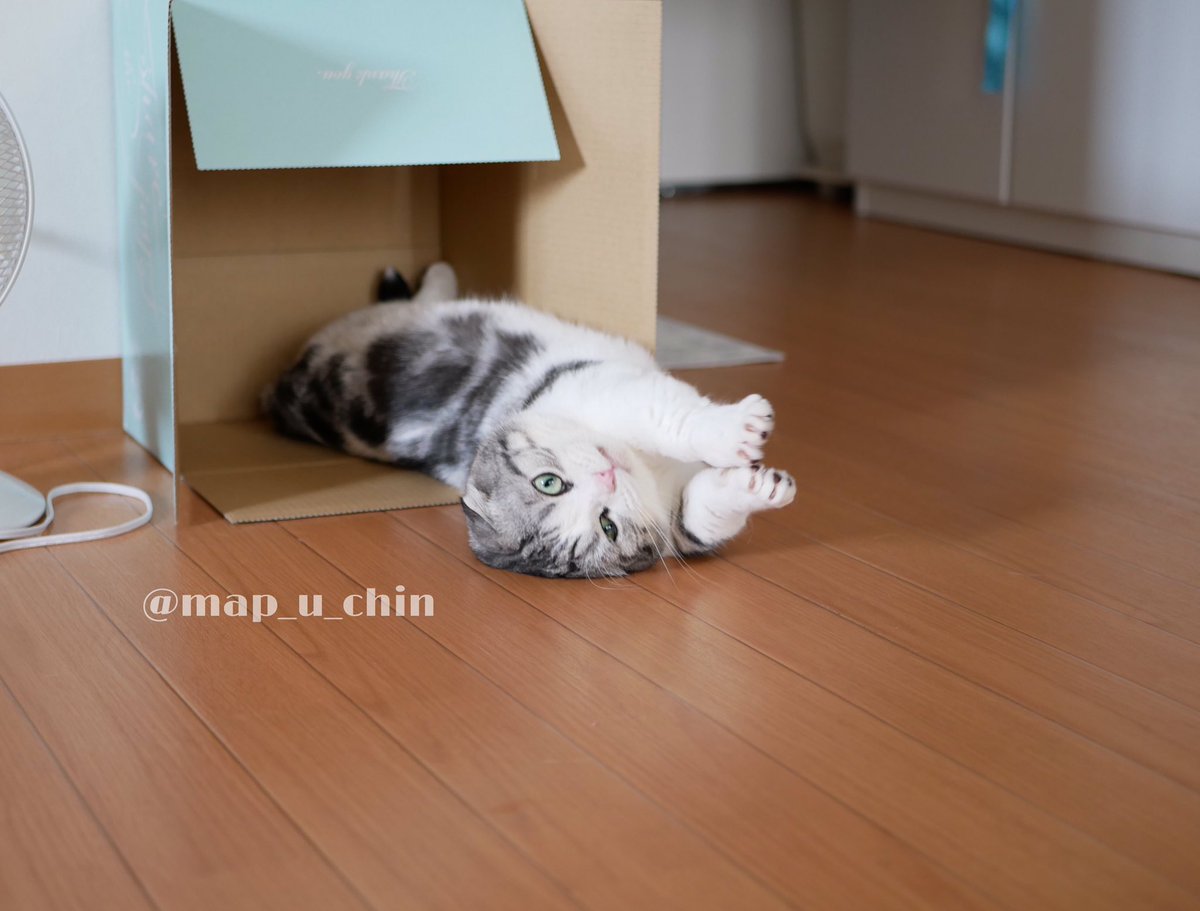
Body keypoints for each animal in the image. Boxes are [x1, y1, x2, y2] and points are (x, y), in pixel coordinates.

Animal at [263, 263, 795, 578]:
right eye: (607, 527)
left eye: (548, 483)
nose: (607, 477)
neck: (649, 469)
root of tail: (277, 391)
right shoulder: (610, 395)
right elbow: (701, 501)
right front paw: (745, 438)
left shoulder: (605, 392)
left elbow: (671, 428)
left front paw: (758, 474)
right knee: (406, 300)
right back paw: (436, 274)